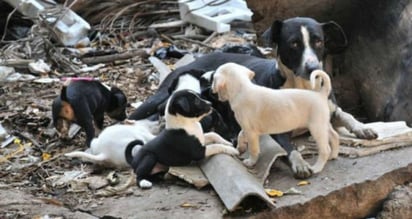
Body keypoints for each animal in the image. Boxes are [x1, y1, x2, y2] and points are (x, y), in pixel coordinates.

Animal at [211, 62, 340, 174]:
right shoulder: (246, 127)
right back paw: (333, 155)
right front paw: (240, 147)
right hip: (324, 124)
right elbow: (240, 134)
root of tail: (321, 94)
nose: (212, 90)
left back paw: (317, 168)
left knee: (325, 149)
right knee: (335, 136)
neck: (242, 89)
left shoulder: (251, 132)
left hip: (316, 128)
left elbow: (253, 149)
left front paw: (251, 162)